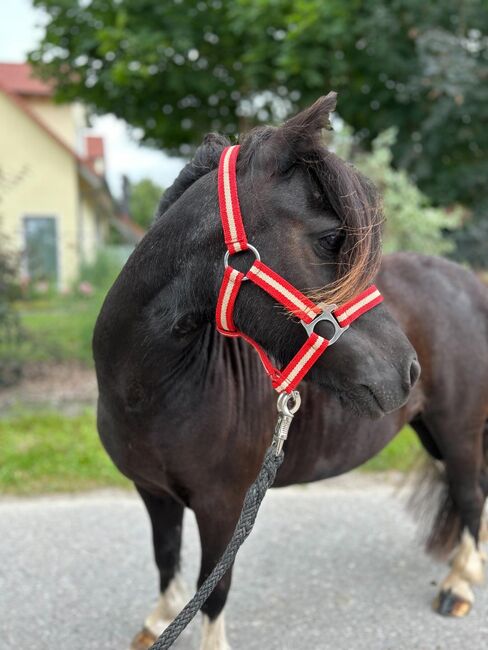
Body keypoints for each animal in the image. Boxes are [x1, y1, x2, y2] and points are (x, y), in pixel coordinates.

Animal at [94, 96, 420, 648]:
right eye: (331, 237)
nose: (408, 369)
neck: (151, 393)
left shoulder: (223, 507)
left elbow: (213, 590)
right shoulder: (153, 492)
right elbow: (165, 559)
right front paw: (157, 621)